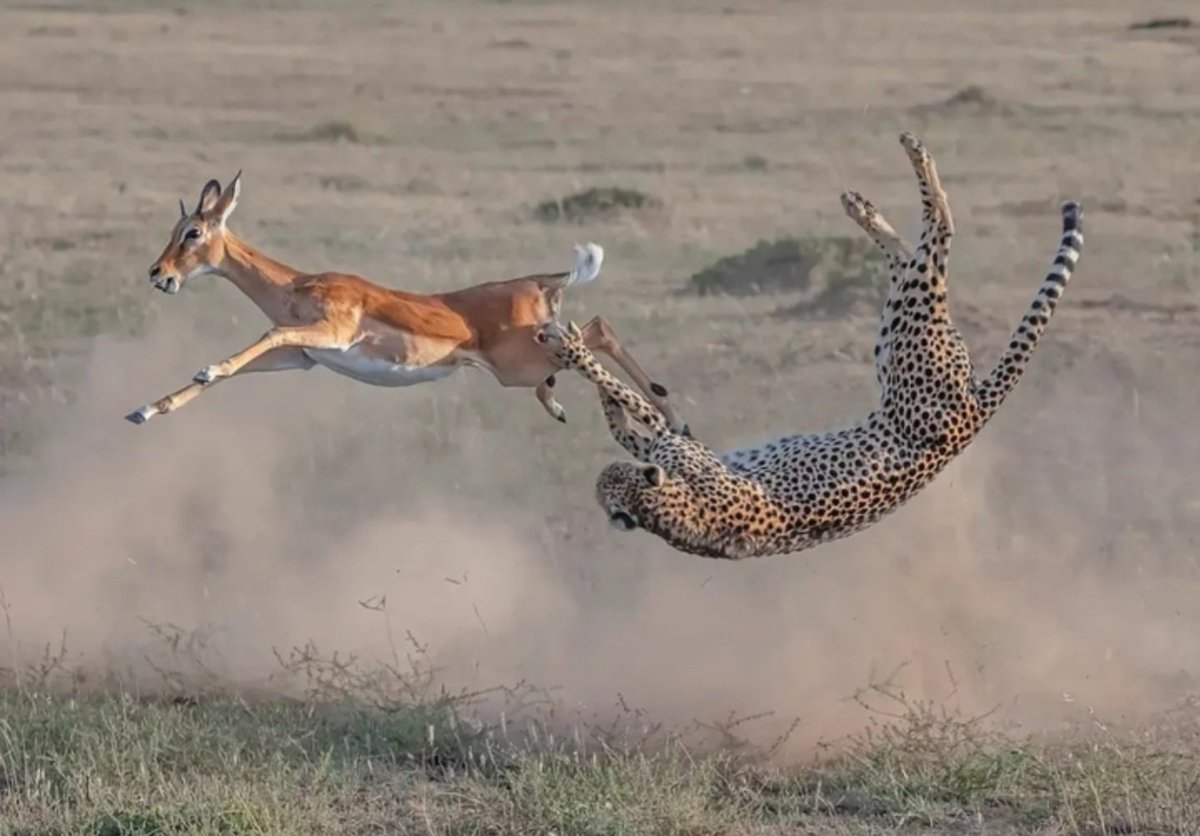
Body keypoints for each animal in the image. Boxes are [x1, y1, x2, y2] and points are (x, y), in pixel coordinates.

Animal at [126, 173, 688, 433]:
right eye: (175, 228)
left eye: (193, 232)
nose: (159, 274)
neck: (299, 286)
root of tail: (537, 281)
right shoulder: (301, 358)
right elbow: (232, 372)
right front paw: (145, 409)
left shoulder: (328, 335)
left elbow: (260, 337)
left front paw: (203, 369)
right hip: (532, 357)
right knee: (583, 340)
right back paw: (567, 407)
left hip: (522, 359)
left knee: (597, 330)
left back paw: (667, 417)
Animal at [536, 132, 1084, 560]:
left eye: (610, 478)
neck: (672, 515)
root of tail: (975, 412)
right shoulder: (674, 445)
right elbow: (634, 416)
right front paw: (588, 370)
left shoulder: (680, 446)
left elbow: (637, 404)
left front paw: (574, 350)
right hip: (903, 335)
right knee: (920, 255)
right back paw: (870, 202)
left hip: (910, 337)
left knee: (937, 237)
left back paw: (900, 170)